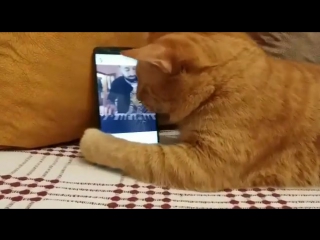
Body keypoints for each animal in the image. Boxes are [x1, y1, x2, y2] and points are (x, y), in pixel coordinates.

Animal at [79, 32, 320, 192]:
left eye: (143, 86)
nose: (137, 97)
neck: (221, 86)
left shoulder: (203, 164)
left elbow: (132, 150)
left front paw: (92, 139)